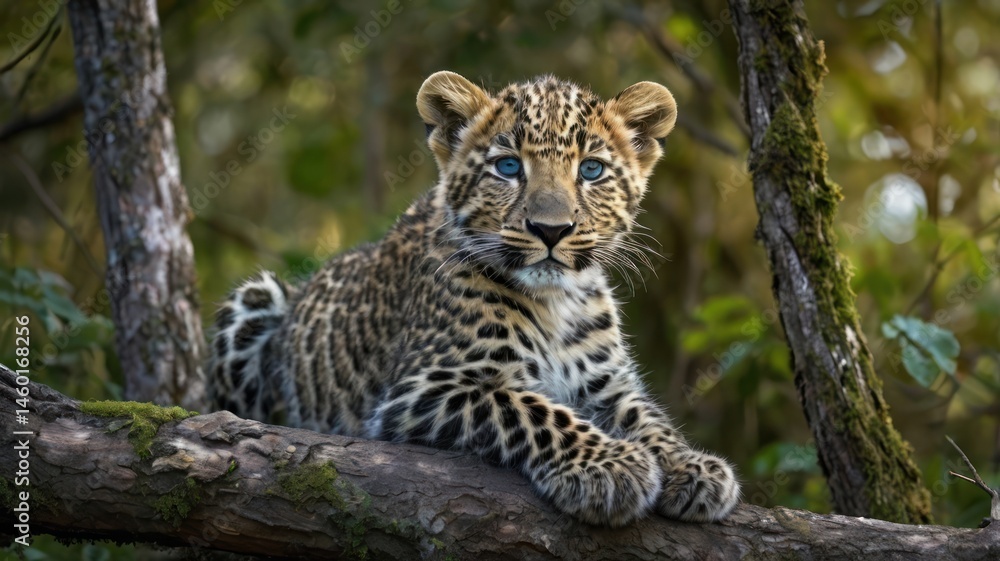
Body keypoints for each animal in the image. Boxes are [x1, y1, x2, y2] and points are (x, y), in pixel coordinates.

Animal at [207, 71, 740, 526]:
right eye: (508, 167)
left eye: (591, 170)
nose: (551, 230)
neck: (557, 301)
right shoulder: (427, 386)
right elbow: (533, 410)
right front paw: (609, 465)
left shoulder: (609, 385)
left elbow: (648, 418)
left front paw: (694, 467)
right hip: (256, 298)